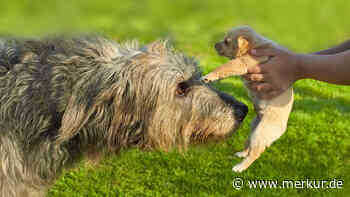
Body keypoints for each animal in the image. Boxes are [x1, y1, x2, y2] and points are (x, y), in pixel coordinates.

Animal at [201, 26, 294, 172]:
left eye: (227, 42)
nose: (215, 45)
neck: (255, 45)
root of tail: (283, 129)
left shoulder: (242, 63)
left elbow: (225, 67)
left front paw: (208, 76)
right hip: (254, 128)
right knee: (249, 146)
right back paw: (242, 153)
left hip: (260, 133)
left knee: (255, 153)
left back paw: (240, 167)